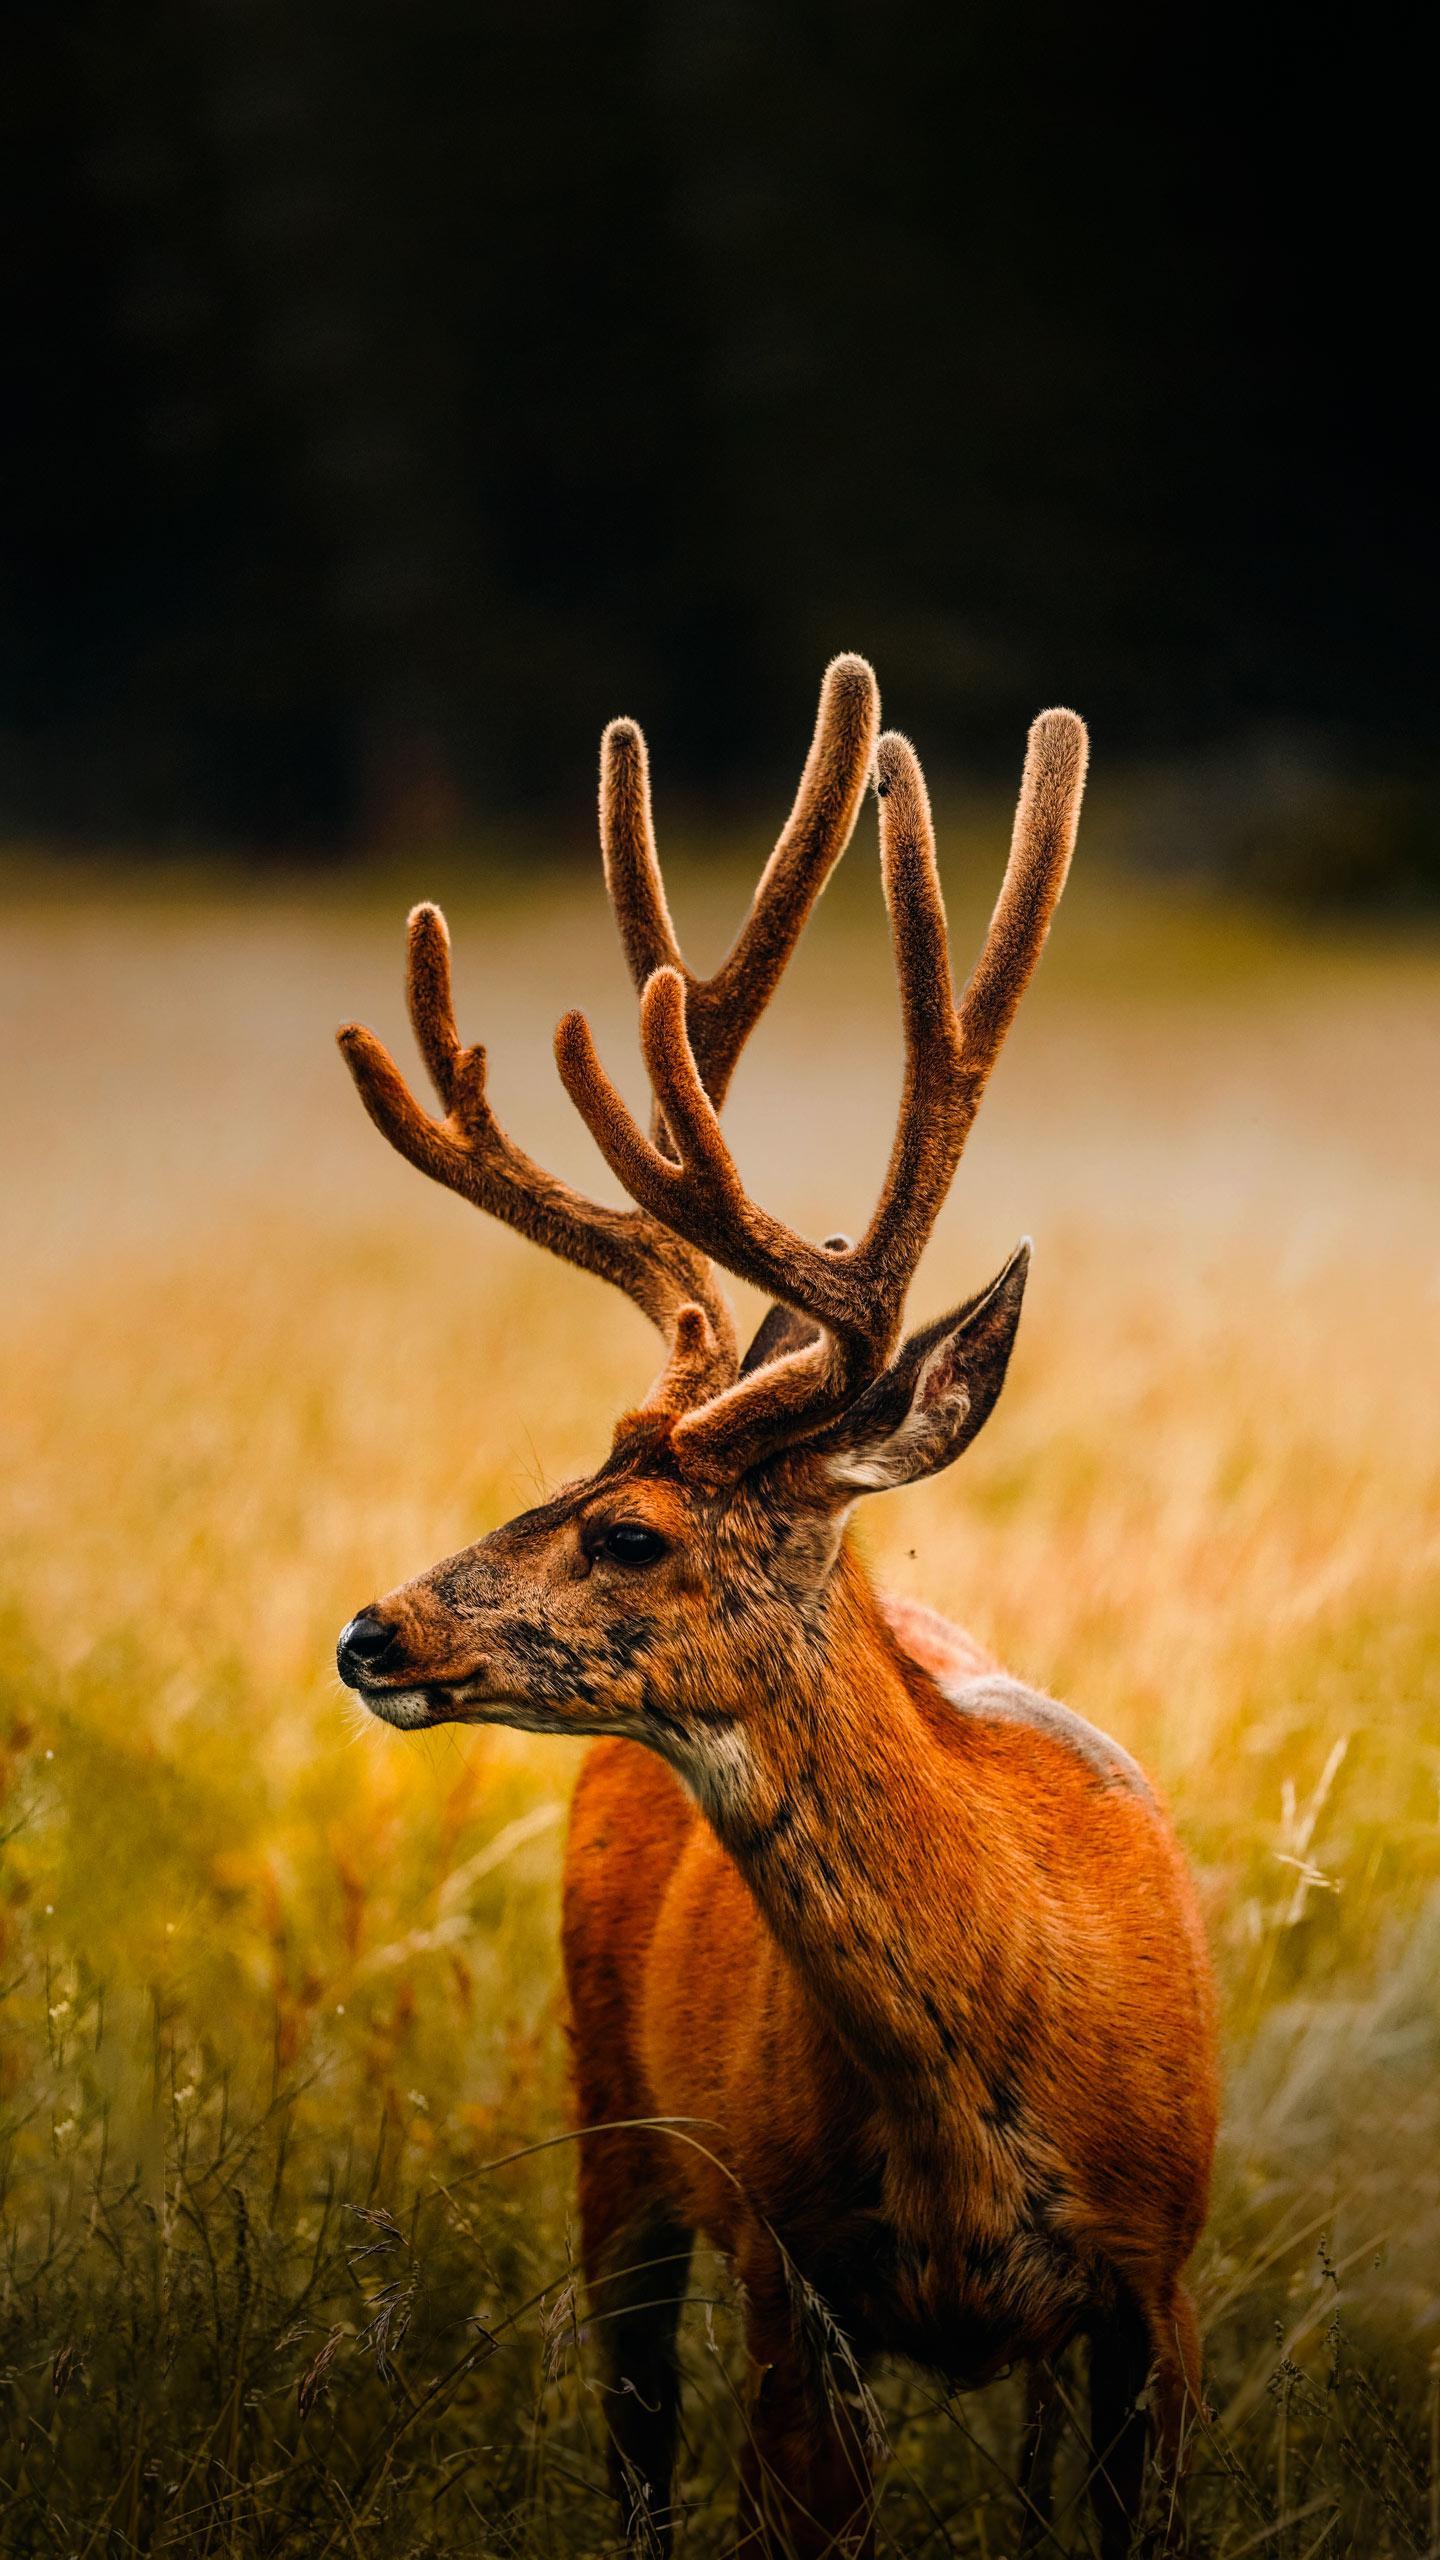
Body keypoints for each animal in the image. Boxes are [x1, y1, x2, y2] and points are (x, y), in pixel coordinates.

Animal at [334, 655, 1218, 2559]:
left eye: (630, 1534)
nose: (374, 1633)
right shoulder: (792, 2270)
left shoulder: (1158, 2277)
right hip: (616, 2130)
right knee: (637, 2440)